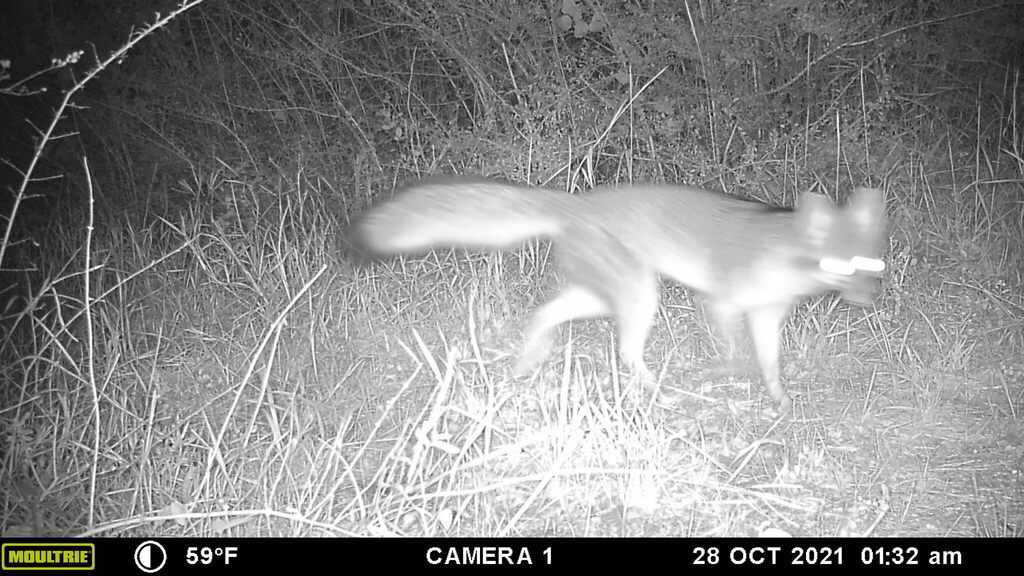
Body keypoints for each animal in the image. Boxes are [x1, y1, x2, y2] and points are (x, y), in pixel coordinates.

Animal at [356, 176, 884, 412]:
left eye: (871, 264)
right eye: (839, 266)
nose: (868, 300)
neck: (782, 257)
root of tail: (576, 202)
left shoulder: (766, 316)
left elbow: (769, 365)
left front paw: (779, 399)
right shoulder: (722, 302)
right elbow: (736, 358)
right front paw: (714, 373)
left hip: (605, 296)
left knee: (545, 316)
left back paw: (529, 361)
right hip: (639, 295)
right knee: (626, 350)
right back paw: (658, 391)